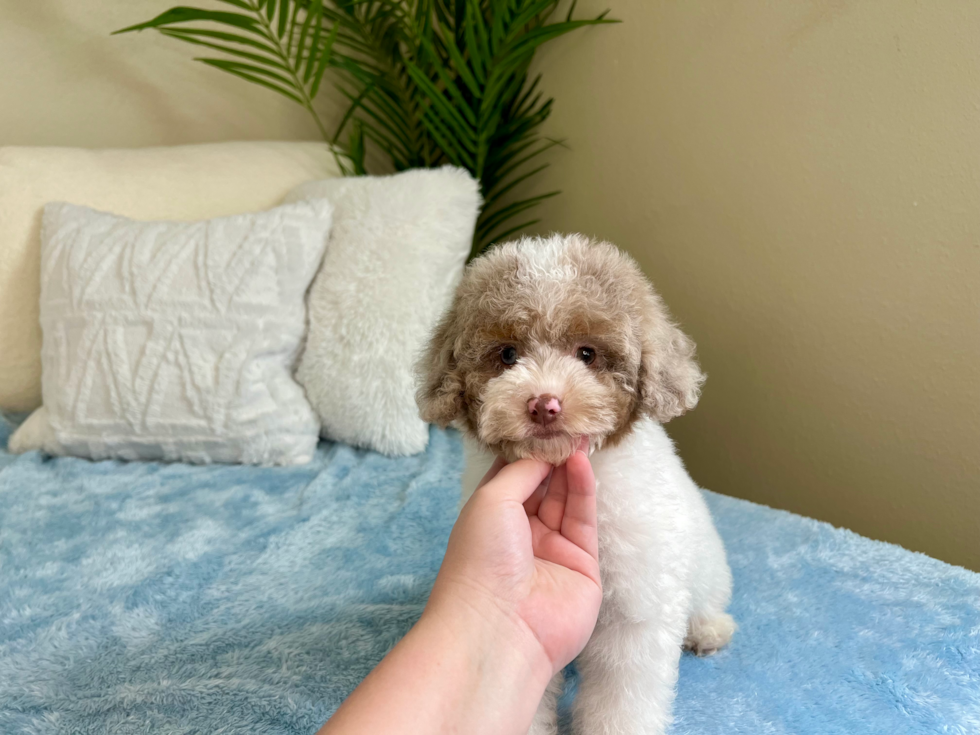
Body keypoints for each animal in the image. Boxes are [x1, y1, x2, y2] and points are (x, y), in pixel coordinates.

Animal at [416, 236, 736, 735]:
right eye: (507, 355)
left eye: (587, 353)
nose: (544, 405)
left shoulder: (636, 609)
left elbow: (623, 695)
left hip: (706, 565)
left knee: (707, 598)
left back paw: (708, 629)